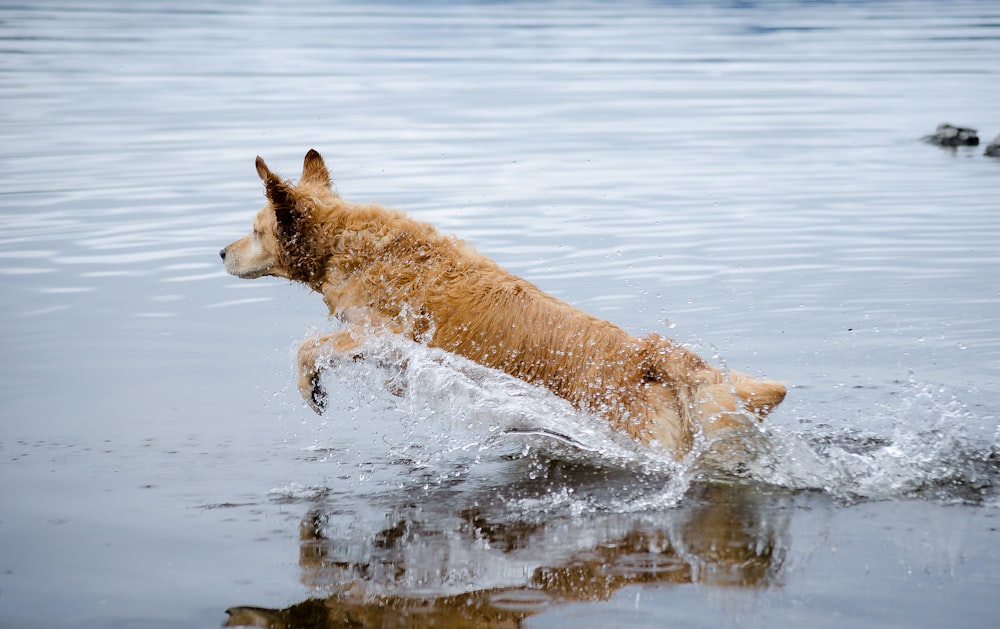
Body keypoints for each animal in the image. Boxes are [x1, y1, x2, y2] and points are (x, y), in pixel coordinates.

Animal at [221, 150, 788, 458]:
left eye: (255, 230)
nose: (221, 252)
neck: (345, 245)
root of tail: (652, 354)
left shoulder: (381, 333)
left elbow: (308, 346)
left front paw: (312, 387)